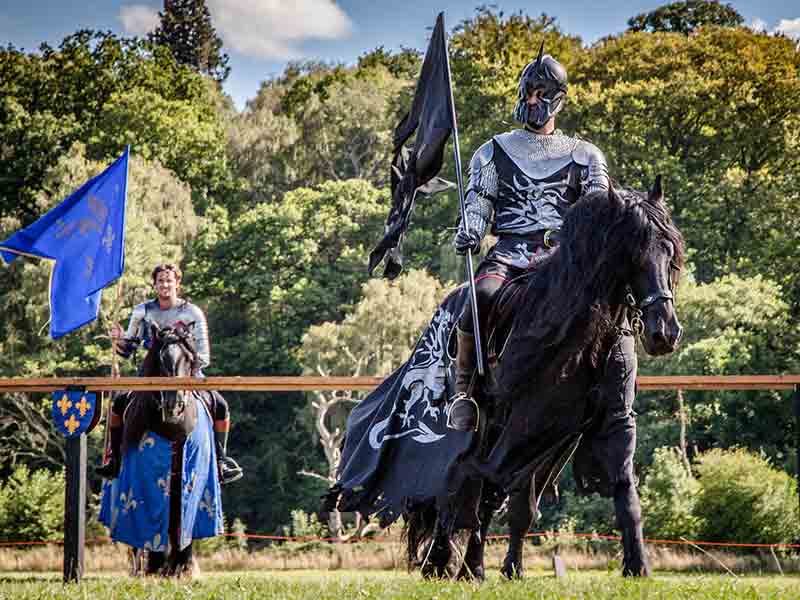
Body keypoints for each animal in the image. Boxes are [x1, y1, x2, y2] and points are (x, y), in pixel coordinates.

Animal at [410, 179, 684, 580]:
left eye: (669, 253)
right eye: (632, 254)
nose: (664, 332)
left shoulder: (607, 421)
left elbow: (622, 486)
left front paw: (637, 565)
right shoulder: (525, 424)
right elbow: (490, 487)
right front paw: (472, 566)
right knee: (465, 483)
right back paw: (445, 561)